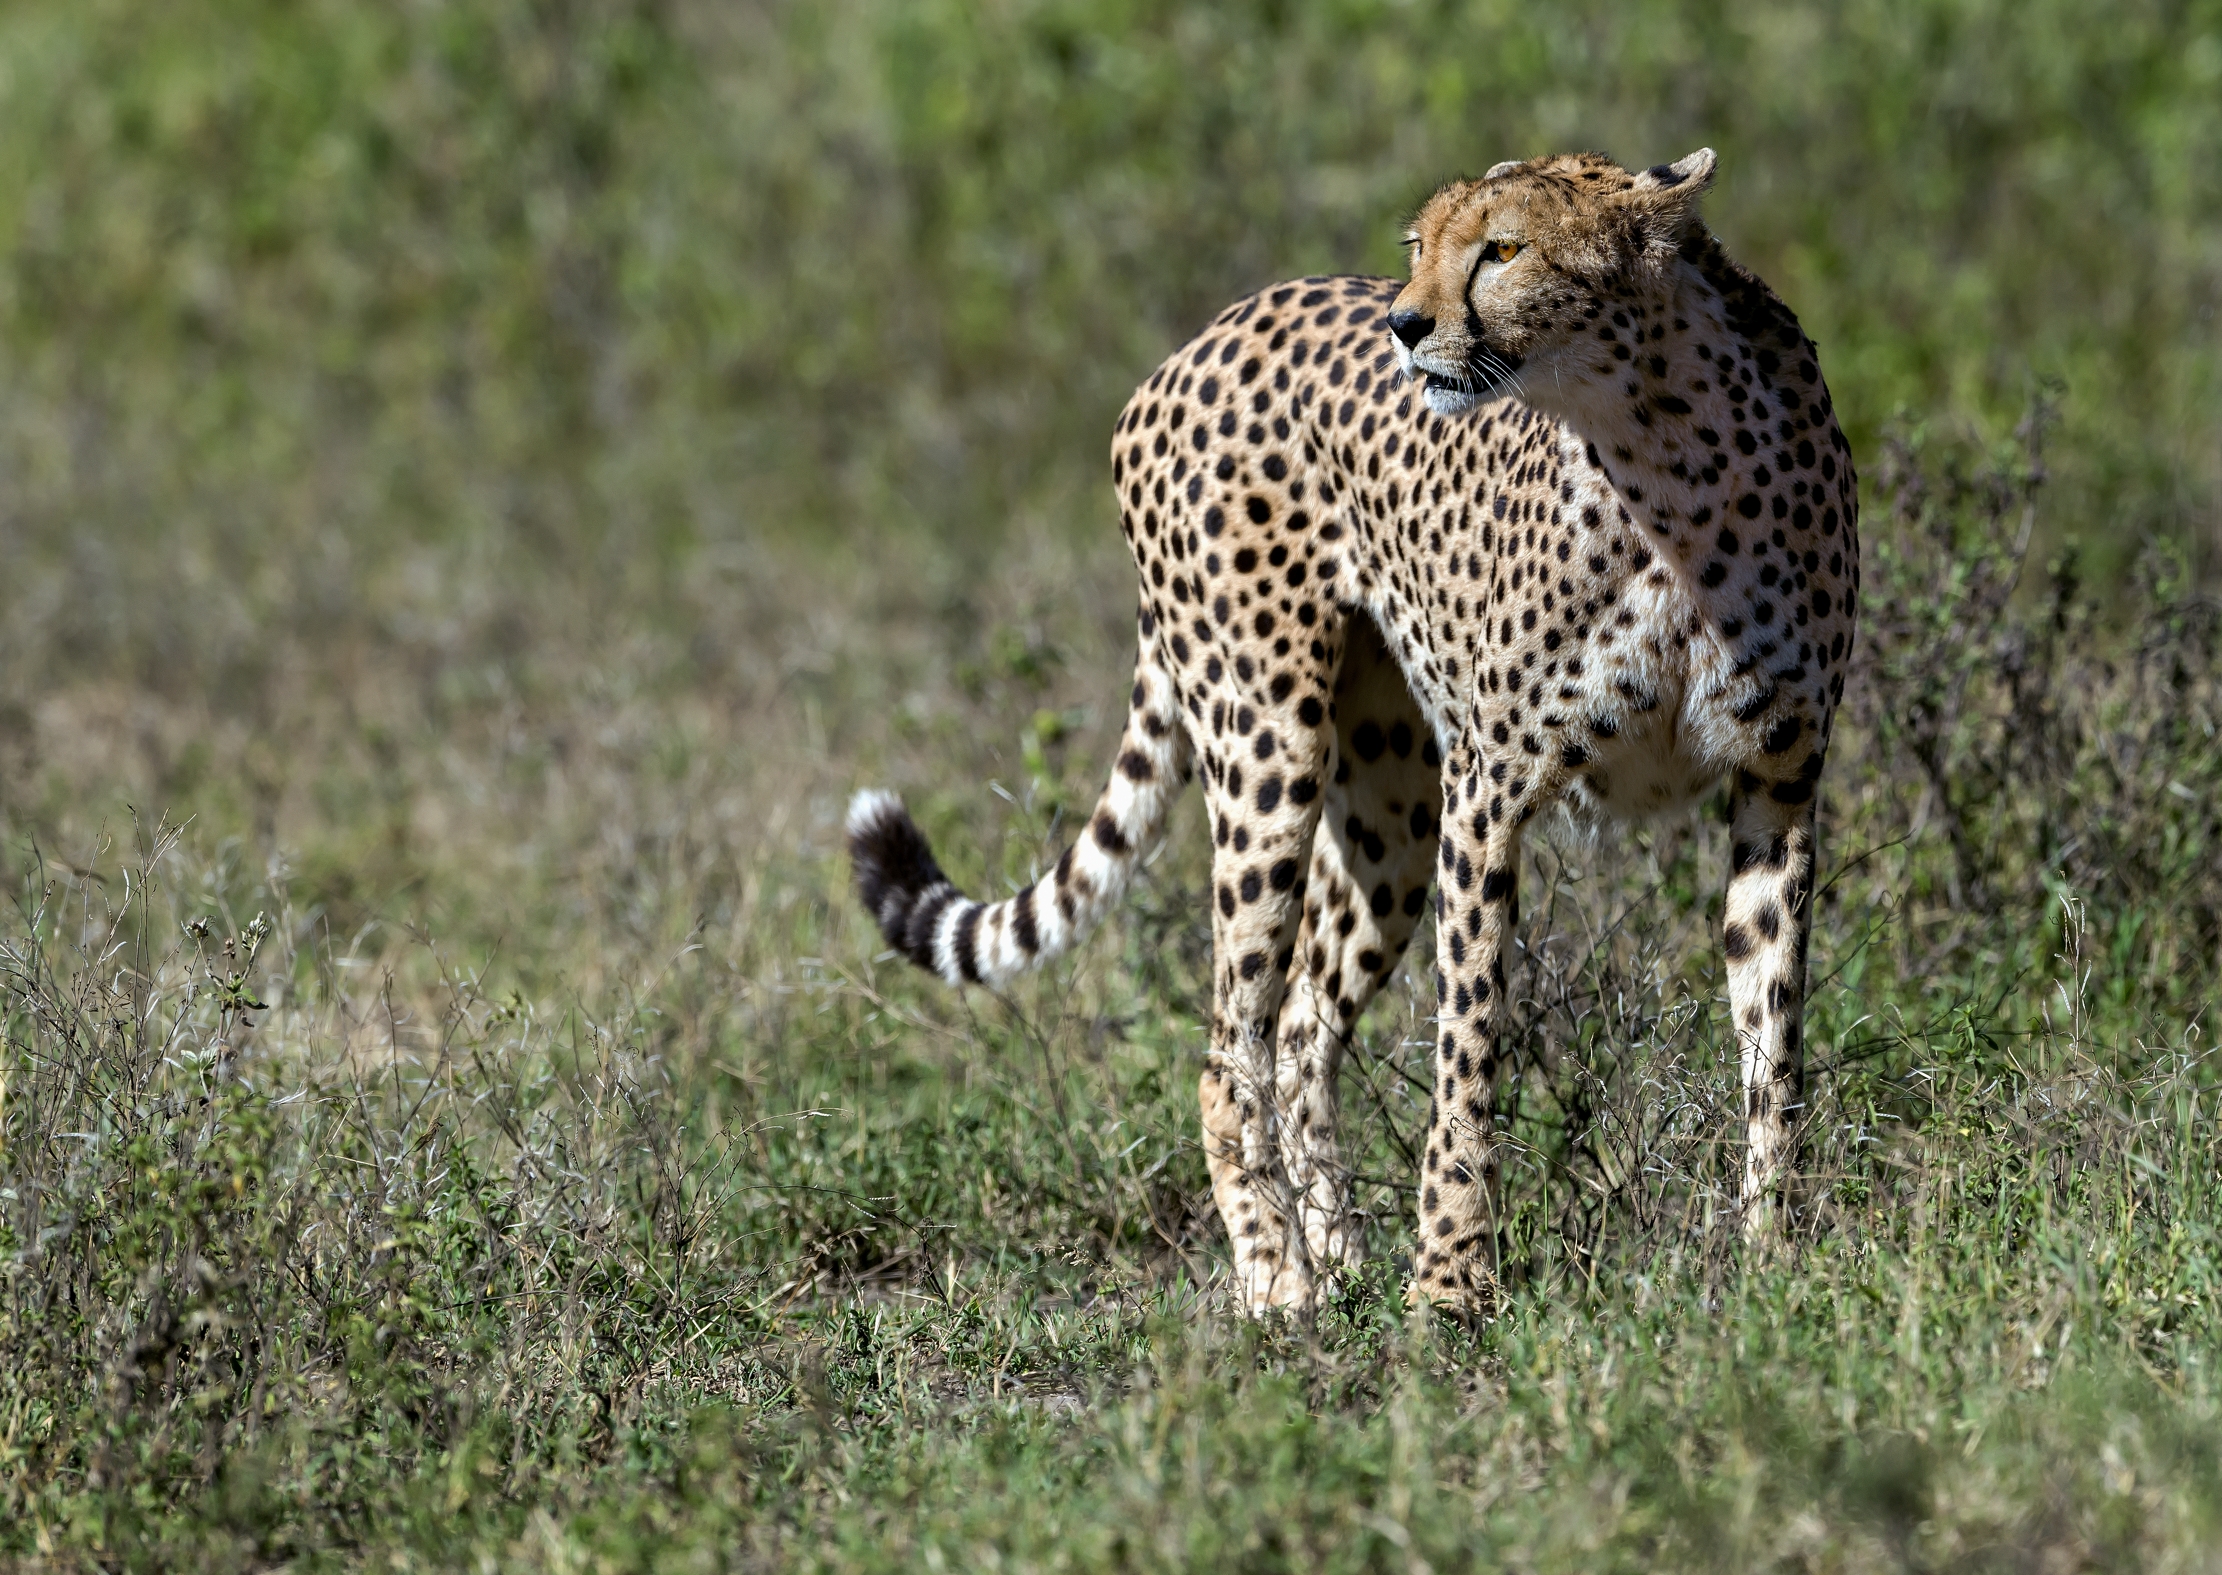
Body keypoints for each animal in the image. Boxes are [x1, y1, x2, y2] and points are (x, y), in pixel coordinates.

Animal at [848, 148, 1859, 1318]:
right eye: (1419, 246)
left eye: (1502, 249)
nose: (1403, 324)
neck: (1661, 446)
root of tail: (1203, 337)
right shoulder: (1489, 790)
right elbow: (1468, 1048)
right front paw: (1450, 1283)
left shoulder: (1779, 781)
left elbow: (1773, 1040)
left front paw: (1774, 1263)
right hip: (1269, 746)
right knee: (1225, 1046)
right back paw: (1277, 1283)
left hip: (1390, 805)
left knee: (1297, 1027)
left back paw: (1333, 1258)